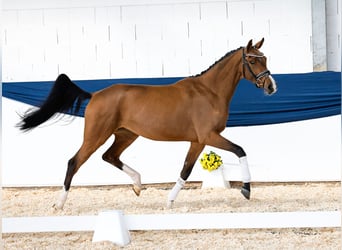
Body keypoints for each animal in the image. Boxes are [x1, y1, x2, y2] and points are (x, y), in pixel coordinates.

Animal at [18, 37, 276, 209]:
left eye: (264, 58)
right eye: (252, 60)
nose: (271, 86)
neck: (209, 92)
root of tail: (95, 94)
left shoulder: (197, 141)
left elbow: (185, 170)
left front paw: (169, 201)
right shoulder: (208, 136)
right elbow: (240, 150)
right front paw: (246, 190)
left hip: (126, 134)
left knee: (110, 156)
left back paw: (138, 185)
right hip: (96, 135)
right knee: (75, 161)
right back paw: (59, 204)